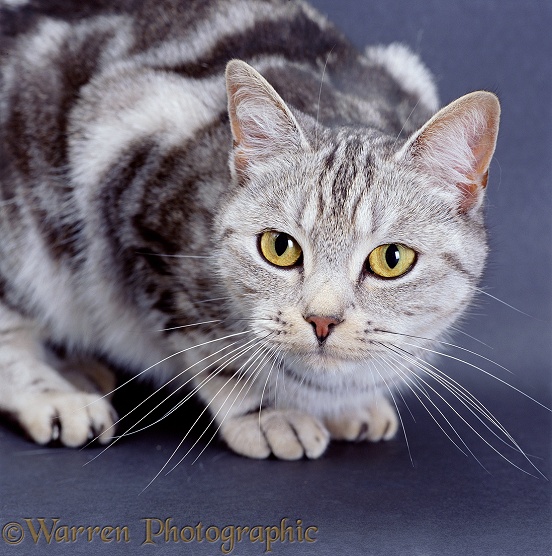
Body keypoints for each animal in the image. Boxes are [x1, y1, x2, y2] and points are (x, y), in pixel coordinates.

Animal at [0, 0, 500, 460]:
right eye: (279, 247)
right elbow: (215, 350)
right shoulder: (134, 194)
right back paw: (59, 394)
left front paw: (348, 404)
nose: (322, 319)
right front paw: (266, 413)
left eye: (391, 259)